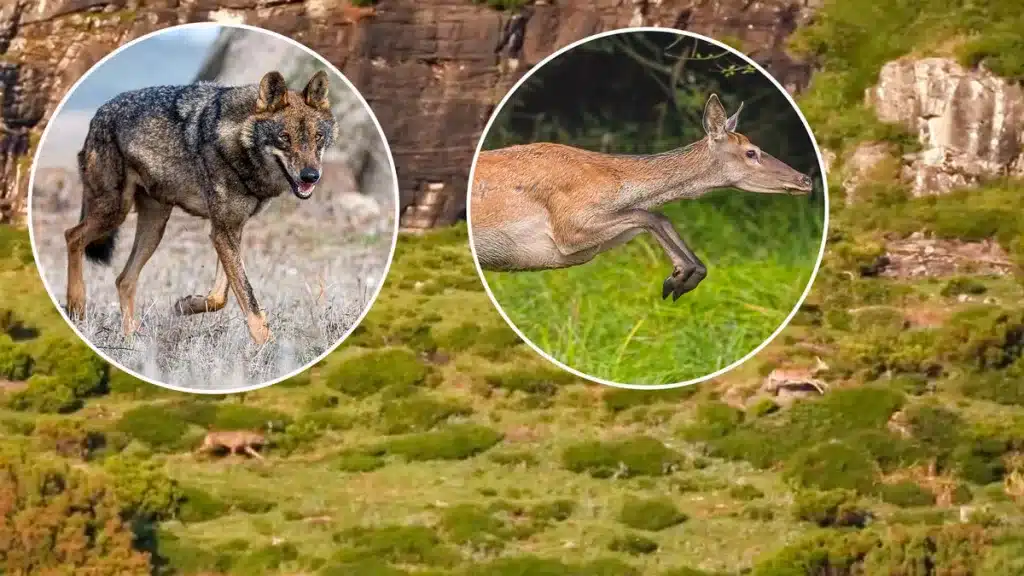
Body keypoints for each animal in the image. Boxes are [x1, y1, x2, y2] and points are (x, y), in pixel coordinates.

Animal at [66, 69, 342, 342]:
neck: (237, 143)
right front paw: (268, 347)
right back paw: (76, 306)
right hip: (115, 212)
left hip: (154, 228)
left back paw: (133, 341)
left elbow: (221, 296)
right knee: (73, 236)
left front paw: (185, 305)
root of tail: (99, 113)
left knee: (123, 280)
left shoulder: (229, 229)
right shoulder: (222, 231)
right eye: (284, 138)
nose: (311, 176)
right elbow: (248, 299)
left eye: (318, 137)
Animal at [468, 91, 815, 297]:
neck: (613, 181)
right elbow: (649, 214)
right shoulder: (568, 227)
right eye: (751, 152)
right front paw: (678, 279)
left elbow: (656, 215)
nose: (806, 179)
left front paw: (683, 276)